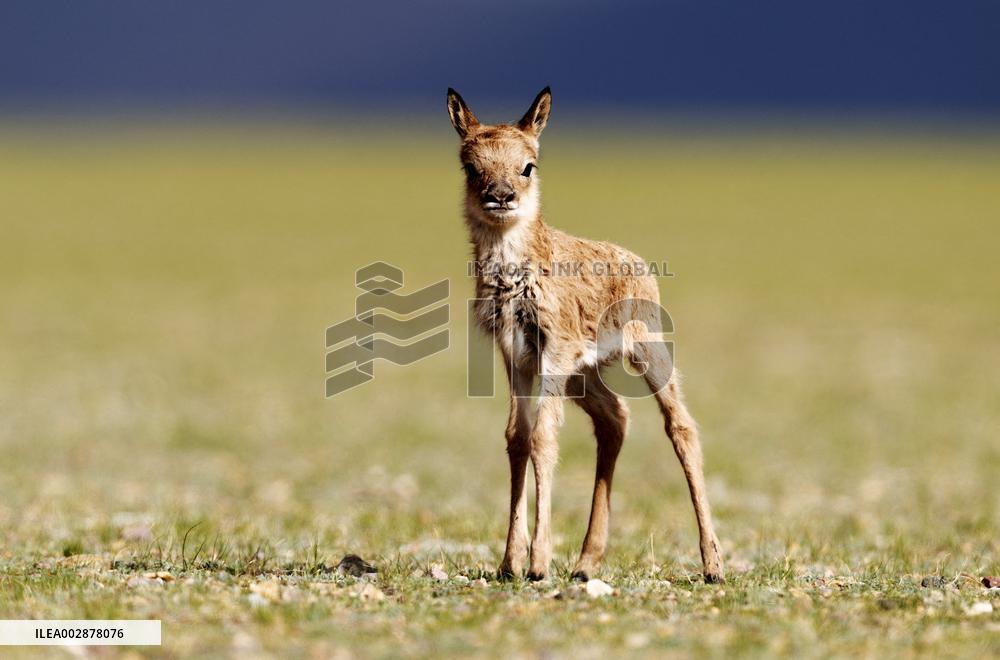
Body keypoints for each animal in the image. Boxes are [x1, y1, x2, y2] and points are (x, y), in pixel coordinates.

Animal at [447, 87, 724, 583]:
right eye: (471, 166)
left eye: (529, 165)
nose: (501, 196)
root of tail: (636, 261)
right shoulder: (517, 356)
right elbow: (516, 437)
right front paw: (509, 561)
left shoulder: (553, 353)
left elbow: (542, 437)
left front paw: (537, 562)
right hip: (584, 375)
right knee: (615, 418)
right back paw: (585, 561)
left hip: (647, 355)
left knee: (681, 427)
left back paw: (713, 564)